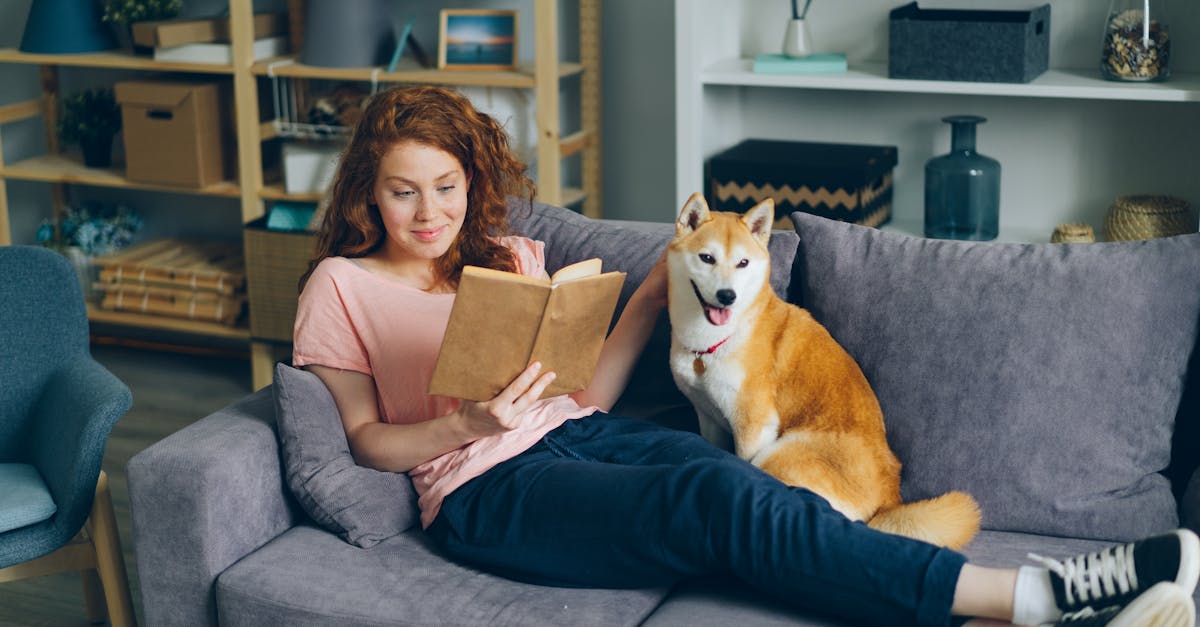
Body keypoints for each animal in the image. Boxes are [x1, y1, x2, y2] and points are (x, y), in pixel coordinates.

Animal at [672, 190, 979, 547]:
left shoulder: (753, 423)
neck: (712, 343)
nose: (727, 296)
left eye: (743, 263)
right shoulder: (708, 417)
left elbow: (740, 461)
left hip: (778, 455)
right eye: (707, 258)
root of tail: (889, 501)